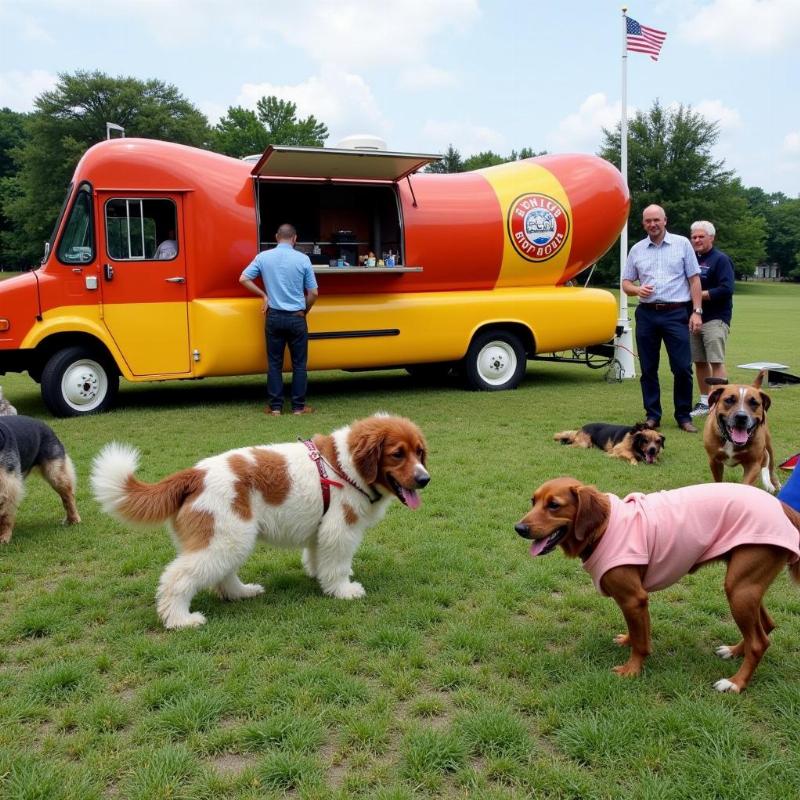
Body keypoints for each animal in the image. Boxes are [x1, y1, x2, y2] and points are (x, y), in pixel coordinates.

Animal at [92, 416, 432, 628]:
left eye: (419, 452)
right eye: (397, 454)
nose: (425, 479)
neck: (343, 466)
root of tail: (194, 474)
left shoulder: (321, 530)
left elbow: (317, 557)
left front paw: (317, 576)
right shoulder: (340, 531)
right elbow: (336, 565)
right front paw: (342, 590)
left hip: (229, 539)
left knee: (222, 576)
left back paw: (241, 593)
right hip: (224, 539)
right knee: (178, 578)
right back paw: (179, 619)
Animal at [516, 478, 800, 692]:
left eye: (554, 505)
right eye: (533, 501)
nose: (518, 528)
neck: (603, 529)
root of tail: (782, 507)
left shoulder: (634, 599)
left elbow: (642, 643)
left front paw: (631, 670)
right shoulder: (633, 602)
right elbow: (639, 632)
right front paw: (629, 641)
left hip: (740, 590)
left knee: (759, 642)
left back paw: (735, 683)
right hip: (746, 586)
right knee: (766, 627)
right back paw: (734, 651)